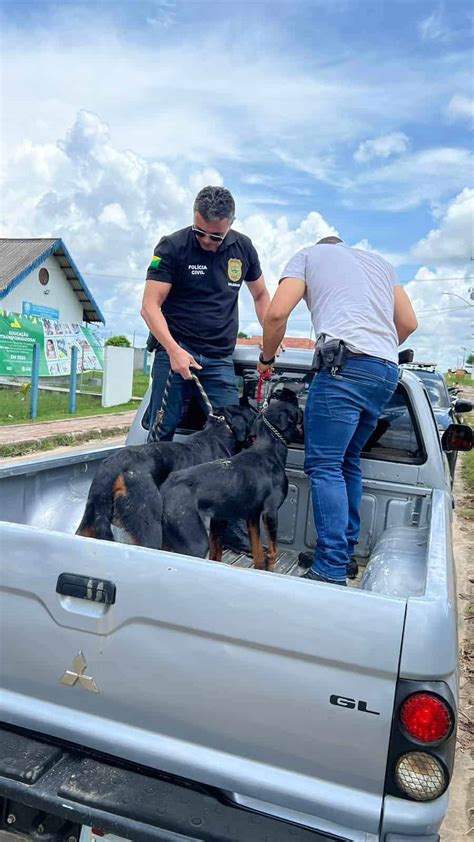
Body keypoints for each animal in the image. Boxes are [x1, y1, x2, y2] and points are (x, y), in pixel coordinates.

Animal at [159, 390, 300, 568]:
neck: (269, 448)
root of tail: (165, 491)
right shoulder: (270, 512)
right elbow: (272, 552)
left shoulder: (250, 516)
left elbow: (257, 553)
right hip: (194, 542)